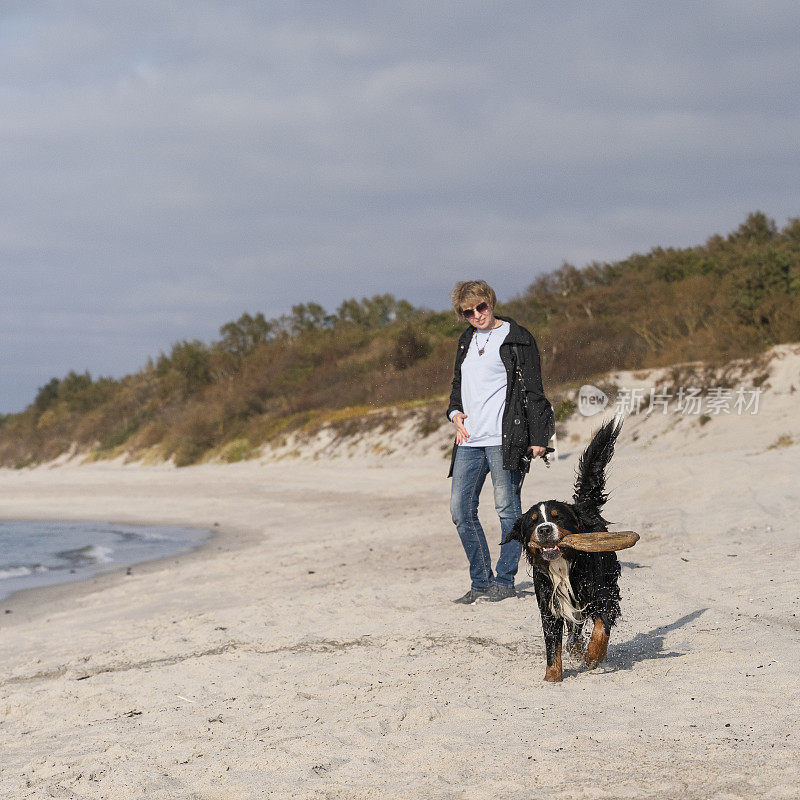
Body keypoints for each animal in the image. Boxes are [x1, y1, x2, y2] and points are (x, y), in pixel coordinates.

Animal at [500, 418, 624, 680]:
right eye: (533, 522)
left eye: (558, 518)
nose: (545, 529)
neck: (563, 566)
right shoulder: (550, 605)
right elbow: (552, 645)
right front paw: (552, 678)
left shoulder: (602, 594)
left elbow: (601, 628)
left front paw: (593, 656)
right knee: (574, 630)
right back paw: (574, 647)